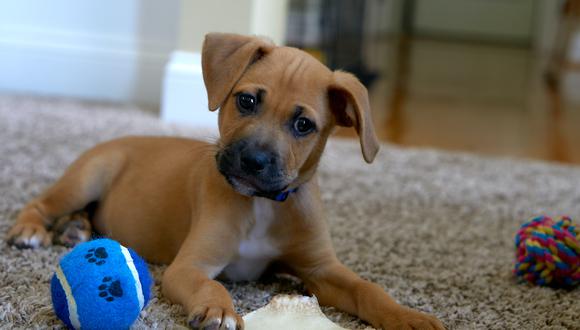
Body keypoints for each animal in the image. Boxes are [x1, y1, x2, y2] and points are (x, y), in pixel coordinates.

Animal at [6, 33, 444, 330]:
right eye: (246, 101)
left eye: (304, 125)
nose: (253, 161)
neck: (264, 203)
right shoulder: (190, 265)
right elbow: (213, 287)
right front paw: (219, 310)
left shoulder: (321, 269)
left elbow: (369, 289)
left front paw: (409, 316)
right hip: (87, 176)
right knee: (42, 203)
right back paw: (31, 230)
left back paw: (77, 229)